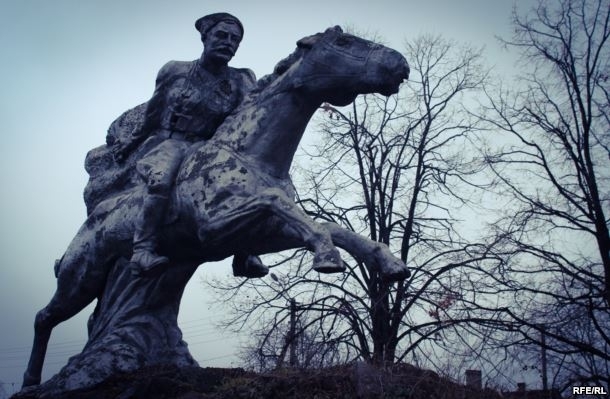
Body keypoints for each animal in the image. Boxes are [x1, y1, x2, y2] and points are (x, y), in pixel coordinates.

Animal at [26, 26, 410, 390]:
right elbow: (278, 203)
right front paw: (328, 258)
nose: (400, 64)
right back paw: (32, 380)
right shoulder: (213, 227)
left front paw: (388, 263)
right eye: (343, 42)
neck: (252, 154)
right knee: (44, 317)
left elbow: (328, 227)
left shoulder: (264, 233)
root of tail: (89, 223)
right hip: (80, 278)